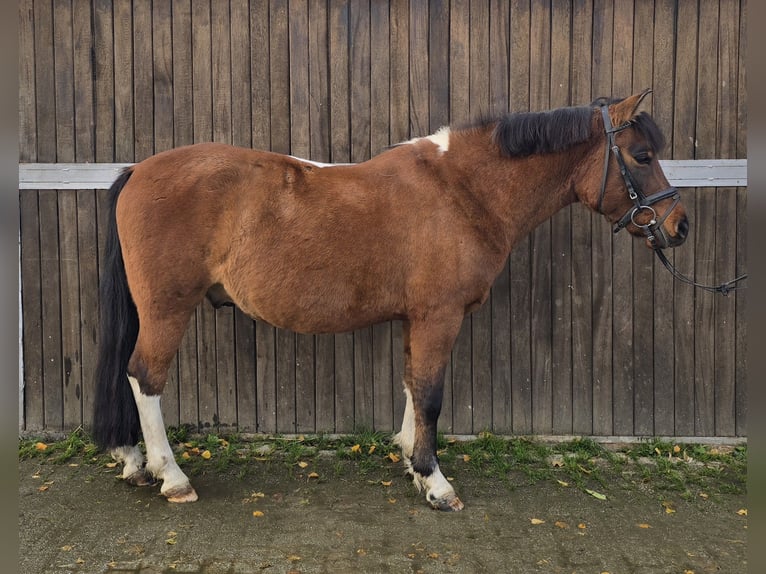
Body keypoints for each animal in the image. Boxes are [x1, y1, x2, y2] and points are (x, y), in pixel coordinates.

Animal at [91, 90, 688, 512]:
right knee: (145, 376)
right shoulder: (439, 317)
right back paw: (171, 476)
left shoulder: (417, 318)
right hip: (166, 309)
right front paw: (434, 481)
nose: (678, 227)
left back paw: (134, 461)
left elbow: (411, 386)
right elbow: (430, 395)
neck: (461, 191)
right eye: (641, 155)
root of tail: (139, 170)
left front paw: (407, 457)